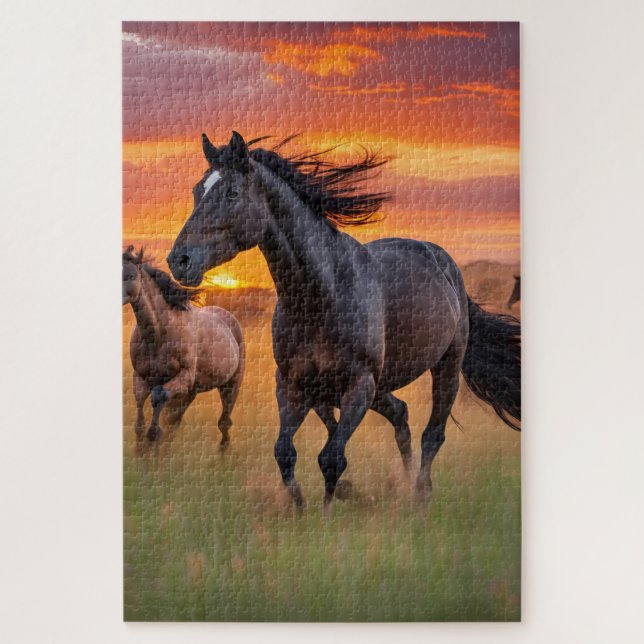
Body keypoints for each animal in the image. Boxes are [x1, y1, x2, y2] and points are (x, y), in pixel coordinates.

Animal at [122, 246, 245, 450]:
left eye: (131, 275)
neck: (158, 335)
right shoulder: (140, 376)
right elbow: (141, 417)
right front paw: (144, 448)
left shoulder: (184, 376)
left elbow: (159, 396)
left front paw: (153, 436)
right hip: (191, 392)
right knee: (176, 420)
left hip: (231, 385)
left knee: (225, 422)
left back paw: (223, 451)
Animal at [167, 132, 521, 506]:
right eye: (197, 191)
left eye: (232, 192)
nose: (179, 261)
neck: (324, 295)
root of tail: (444, 262)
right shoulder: (292, 384)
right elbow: (285, 452)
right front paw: (302, 507)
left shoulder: (359, 385)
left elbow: (331, 457)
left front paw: (327, 510)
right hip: (360, 387)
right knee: (400, 414)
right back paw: (401, 484)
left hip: (445, 368)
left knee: (432, 434)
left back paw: (420, 497)